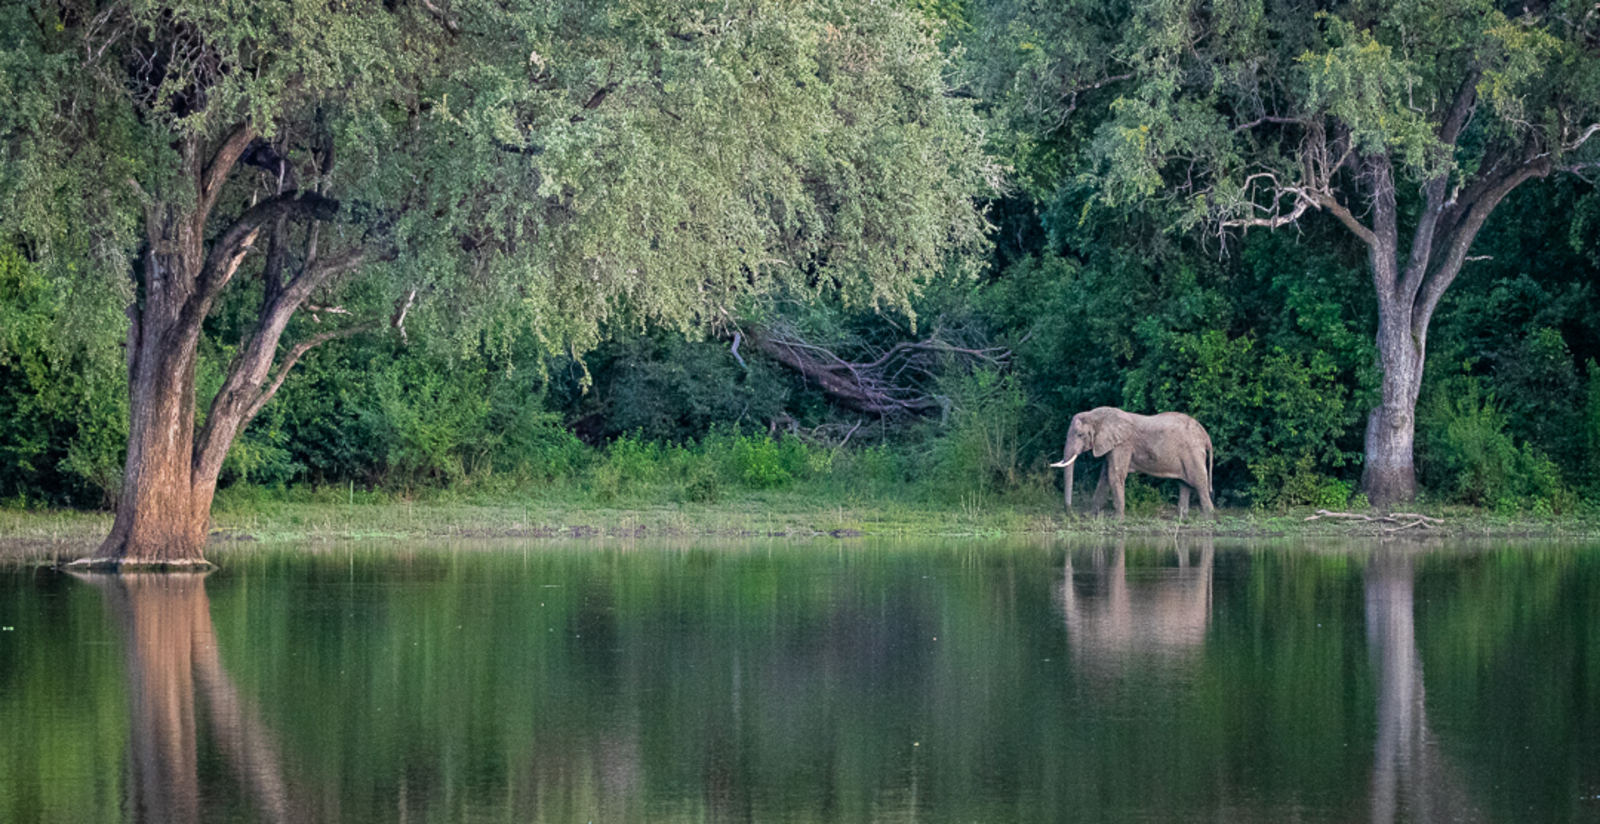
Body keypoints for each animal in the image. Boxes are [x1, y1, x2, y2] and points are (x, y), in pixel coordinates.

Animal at [1049, 406, 1214, 520]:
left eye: (1080, 434)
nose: (1071, 515)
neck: (1096, 414)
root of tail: (1206, 435)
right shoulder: (1111, 444)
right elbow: (1105, 477)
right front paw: (1093, 517)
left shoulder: (1122, 444)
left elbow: (1114, 475)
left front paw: (1118, 521)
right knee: (1184, 484)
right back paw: (1182, 519)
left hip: (1192, 451)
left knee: (1199, 482)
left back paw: (1208, 518)